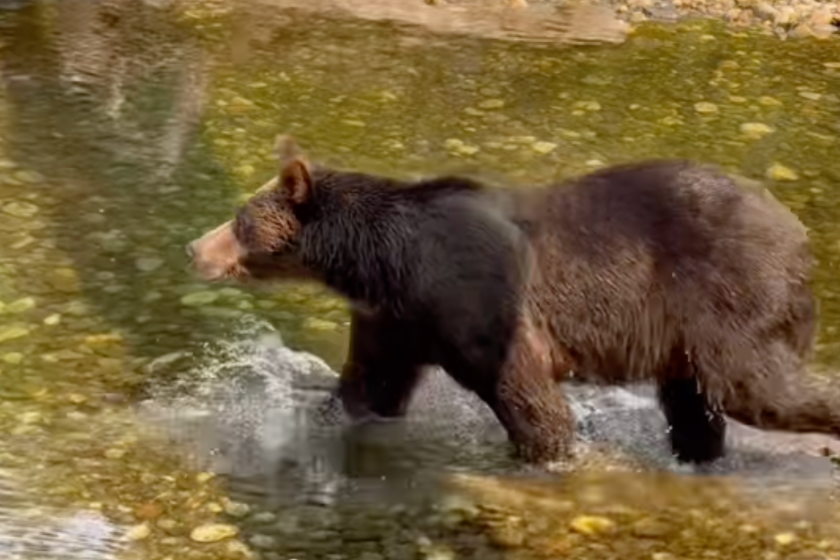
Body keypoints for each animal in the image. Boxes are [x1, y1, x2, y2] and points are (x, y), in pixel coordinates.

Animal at [187, 134, 840, 466]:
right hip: (684, 330)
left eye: (239, 219)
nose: (195, 247)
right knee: (694, 401)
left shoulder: (473, 296)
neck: (380, 261)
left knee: (758, 386)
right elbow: (370, 384)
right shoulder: (394, 316)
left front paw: (546, 453)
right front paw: (317, 417)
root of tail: (798, 231)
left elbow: (525, 392)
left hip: (730, 293)